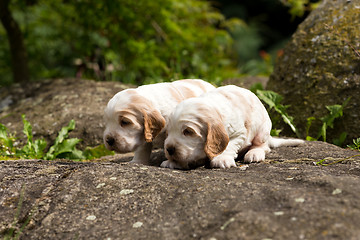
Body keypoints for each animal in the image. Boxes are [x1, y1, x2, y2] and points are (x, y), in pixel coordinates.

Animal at [162, 85, 306, 170]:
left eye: (188, 131)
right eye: (168, 133)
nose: (169, 149)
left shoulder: (239, 133)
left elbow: (228, 145)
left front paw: (221, 159)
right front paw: (172, 163)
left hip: (261, 131)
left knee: (264, 146)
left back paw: (254, 153)